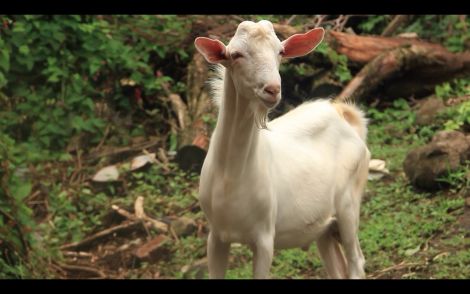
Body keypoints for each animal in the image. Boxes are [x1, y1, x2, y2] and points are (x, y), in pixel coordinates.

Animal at [195, 20, 370, 278]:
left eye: (280, 52)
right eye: (236, 55)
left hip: (349, 204)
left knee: (356, 260)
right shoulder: (216, 235)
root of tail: (345, 116)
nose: (272, 89)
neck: (231, 177)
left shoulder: (265, 237)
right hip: (324, 227)